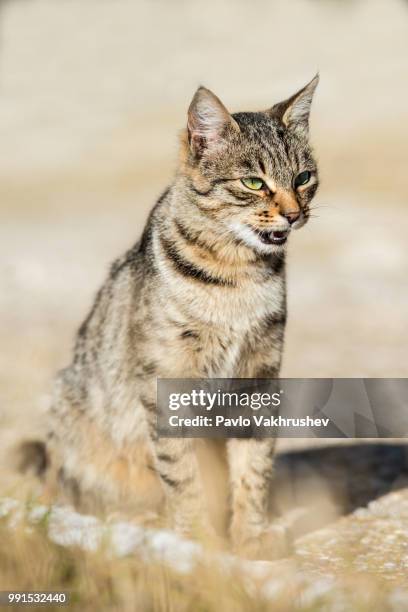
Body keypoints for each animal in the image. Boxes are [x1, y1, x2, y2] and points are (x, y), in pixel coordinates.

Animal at [19, 75, 318, 560]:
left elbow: (253, 467)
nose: (294, 214)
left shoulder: (259, 373)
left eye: (303, 178)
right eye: (253, 182)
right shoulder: (169, 378)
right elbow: (182, 472)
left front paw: (250, 535)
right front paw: (198, 539)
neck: (239, 276)